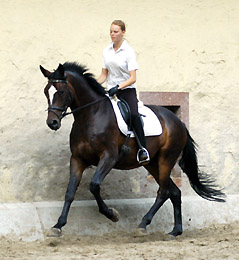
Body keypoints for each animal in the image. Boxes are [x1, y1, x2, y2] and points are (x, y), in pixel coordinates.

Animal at [40, 62, 225, 237]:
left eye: (61, 92)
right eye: (46, 92)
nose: (52, 123)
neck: (91, 116)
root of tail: (178, 122)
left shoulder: (109, 157)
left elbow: (94, 185)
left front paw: (112, 214)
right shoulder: (77, 159)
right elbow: (70, 192)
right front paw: (57, 226)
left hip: (167, 159)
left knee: (163, 191)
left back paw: (143, 224)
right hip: (152, 163)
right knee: (174, 192)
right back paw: (175, 231)